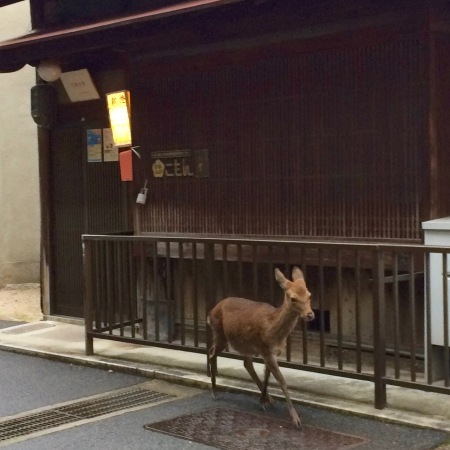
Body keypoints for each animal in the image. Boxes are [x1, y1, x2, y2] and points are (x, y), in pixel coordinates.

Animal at [207, 268, 312, 428]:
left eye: (309, 295)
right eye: (293, 298)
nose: (310, 314)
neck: (273, 331)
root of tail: (210, 312)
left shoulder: (270, 352)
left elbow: (267, 375)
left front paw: (264, 400)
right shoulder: (266, 350)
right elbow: (282, 381)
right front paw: (296, 419)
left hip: (242, 344)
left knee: (245, 363)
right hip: (220, 334)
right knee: (212, 353)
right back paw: (214, 392)